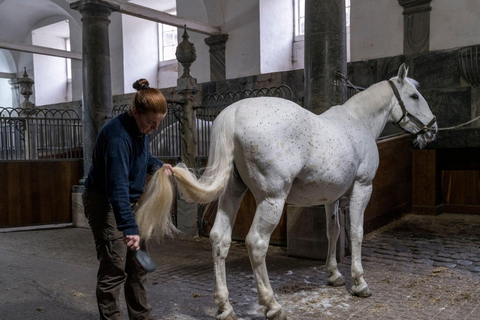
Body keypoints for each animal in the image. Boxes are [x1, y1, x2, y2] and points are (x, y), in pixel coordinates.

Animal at [135, 63, 436, 318]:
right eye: (414, 96)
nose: (432, 129)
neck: (358, 123)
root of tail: (233, 113)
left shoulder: (331, 198)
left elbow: (334, 231)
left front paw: (333, 275)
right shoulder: (363, 188)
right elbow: (356, 233)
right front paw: (359, 282)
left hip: (232, 192)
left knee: (220, 239)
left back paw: (225, 307)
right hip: (272, 199)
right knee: (256, 243)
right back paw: (272, 305)